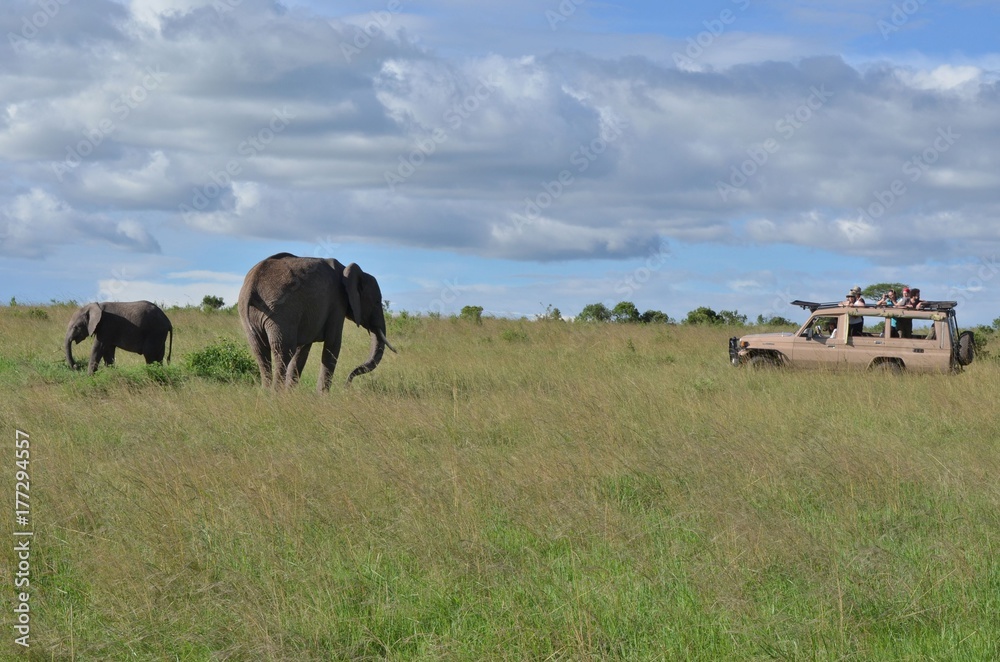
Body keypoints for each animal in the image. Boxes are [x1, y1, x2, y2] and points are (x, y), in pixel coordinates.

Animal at [237, 252, 396, 390]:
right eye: (377, 302)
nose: (347, 385)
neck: (347, 270)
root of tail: (252, 285)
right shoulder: (337, 303)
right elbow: (333, 344)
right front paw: (322, 397)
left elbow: (302, 351)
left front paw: (290, 395)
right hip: (280, 311)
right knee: (283, 349)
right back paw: (275, 394)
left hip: (253, 313)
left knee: (260, 350)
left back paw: (266, 393)